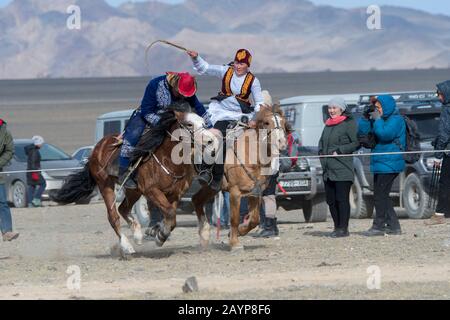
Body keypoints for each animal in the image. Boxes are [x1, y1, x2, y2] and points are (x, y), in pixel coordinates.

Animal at [51, 105, 219, 258]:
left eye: (203, 123)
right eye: (189, 124)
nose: (211, 141)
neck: (168, 160)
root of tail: (97, 148)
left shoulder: (175, 194)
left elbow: (170, 217)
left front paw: (159, 233)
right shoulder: (152, 191)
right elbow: (170, 214)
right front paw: (160, 236)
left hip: (134, 190)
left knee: (123, 209)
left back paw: (137, 234)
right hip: (105, 185)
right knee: (113, 216)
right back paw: (127, 246)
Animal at [192, 105, 286, 250]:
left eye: (283, 122)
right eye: (266, 123)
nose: (282, 142)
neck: (249, 154)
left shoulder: (254, 193)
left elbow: (254, 220)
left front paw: (240, 232)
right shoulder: (235, 192)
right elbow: (234, 219)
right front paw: (234, 243)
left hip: (211, 188)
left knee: (196, 200)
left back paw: (204, 236)